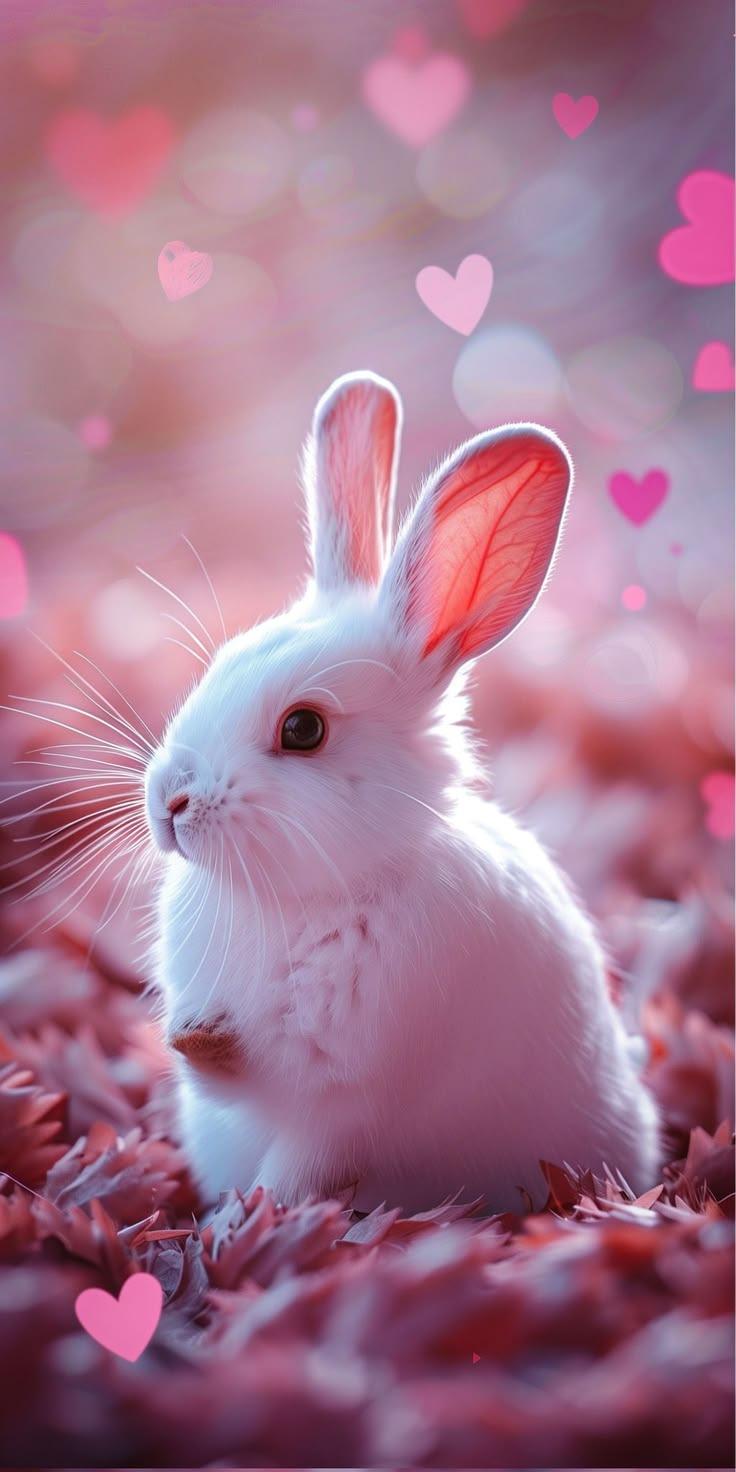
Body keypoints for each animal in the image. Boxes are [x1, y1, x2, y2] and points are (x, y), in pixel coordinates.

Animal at [144, 370, 659, 1215]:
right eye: (220, 666)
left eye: (304, 730)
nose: (169, 803)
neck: (308, 896)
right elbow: (220, 1076)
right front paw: (197, 1038)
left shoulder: (351, 1101)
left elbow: (296, 1167)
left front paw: (241, 1229)